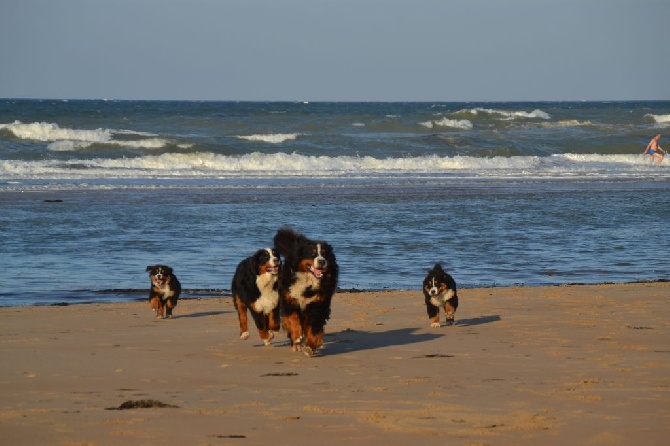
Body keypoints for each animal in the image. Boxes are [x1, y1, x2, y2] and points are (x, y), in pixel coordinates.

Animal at [272, 226, 338, 356]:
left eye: (325, 254)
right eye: (312, 253)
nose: (322, 261)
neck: (308, 282)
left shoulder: (317, 305)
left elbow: (313, 329)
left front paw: (310, 346)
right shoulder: (290, 301)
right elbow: (293, 321)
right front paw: (297, 337)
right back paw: (295, 344)